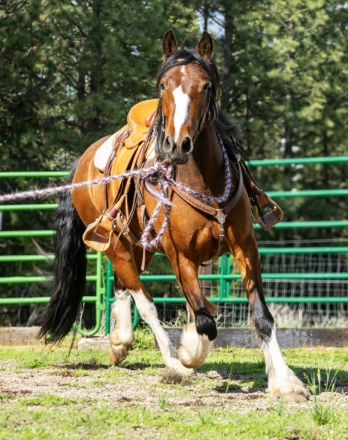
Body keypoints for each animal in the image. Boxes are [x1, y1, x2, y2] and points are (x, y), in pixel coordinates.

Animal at [39, 29, 308, 398]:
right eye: (163, 85)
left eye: (206, 86)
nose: (176, 145)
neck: (204, 184)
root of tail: (83, 161)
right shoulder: (180, 255)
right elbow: (204, 320)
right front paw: (190, 352)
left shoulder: (245, 248)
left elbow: (259, 315)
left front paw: (285, 380)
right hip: (115, 244)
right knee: (144, 299)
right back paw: (170, 359)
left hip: (138, 245)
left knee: (124, 286)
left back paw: (120, 342)